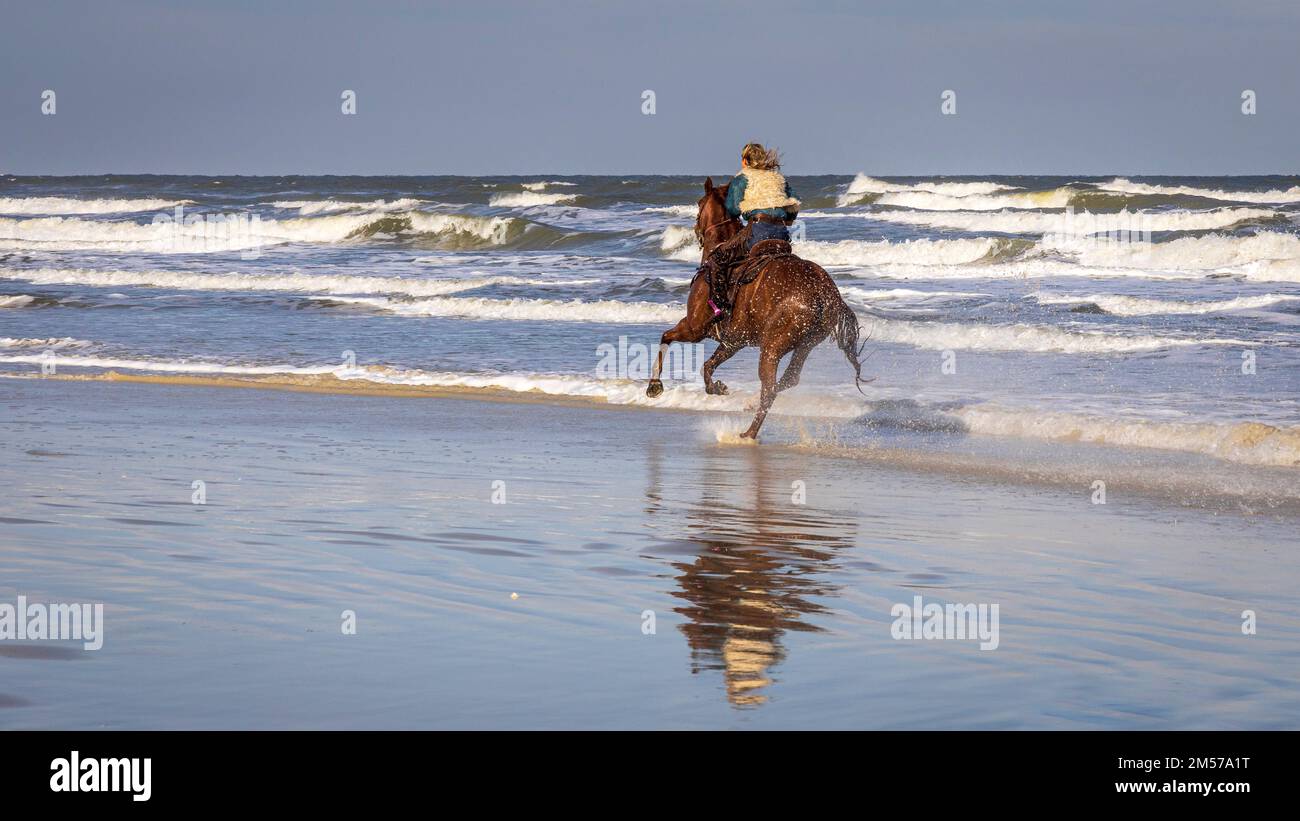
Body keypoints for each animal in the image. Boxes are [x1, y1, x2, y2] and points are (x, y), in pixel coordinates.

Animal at [645, 177, 868, 439]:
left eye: (699, 203)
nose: (696, 231)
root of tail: (824, 293)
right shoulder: (734, 341)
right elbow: (707, 365)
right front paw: (717, 387)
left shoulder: (694, 328)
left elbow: (666, 338)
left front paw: (654, 386)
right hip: (806, 344)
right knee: (789, 378)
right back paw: (751, 404)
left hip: (772, 347)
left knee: (770, 388)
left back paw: (748, 433)